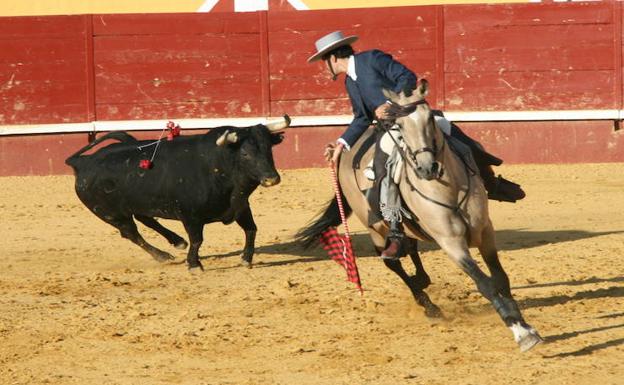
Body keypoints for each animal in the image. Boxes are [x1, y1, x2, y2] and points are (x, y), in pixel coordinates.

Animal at [67, 115, 292, 268]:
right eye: (245, 153)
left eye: (269, 149)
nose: (272, 178)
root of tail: (82, 162)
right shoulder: (190, 216)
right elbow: (197, 240)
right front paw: (194, 265)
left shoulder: (240, 206)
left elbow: (251, 229)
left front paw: (246, 259)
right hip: (110, 214)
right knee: (131, 233)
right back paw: (163, 256)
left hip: (136, 203)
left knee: (146, 219)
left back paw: (177, 242)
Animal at [296, 80, 540, 352]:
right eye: (400, 125)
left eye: (430, 119)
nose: (427, 168)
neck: (448, 188)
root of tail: (343, 154)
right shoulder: (451, 243)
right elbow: (485, 284)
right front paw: (520, 331)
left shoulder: (485, 231)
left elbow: (500, 279)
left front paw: (523, 325)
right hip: (375, 228)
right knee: (392, 261)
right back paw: (429, 305)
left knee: (409, 245)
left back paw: (422, 278)